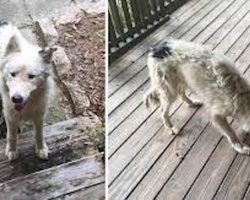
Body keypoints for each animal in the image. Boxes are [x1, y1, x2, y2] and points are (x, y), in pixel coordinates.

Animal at [0, 21, 56, 160]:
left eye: (31, 76)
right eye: (12, 74)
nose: (16, 99)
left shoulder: (40, 115)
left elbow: (39, 134)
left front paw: (41, 149)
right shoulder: (9, 115)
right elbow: (11, 136)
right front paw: (12, 150)